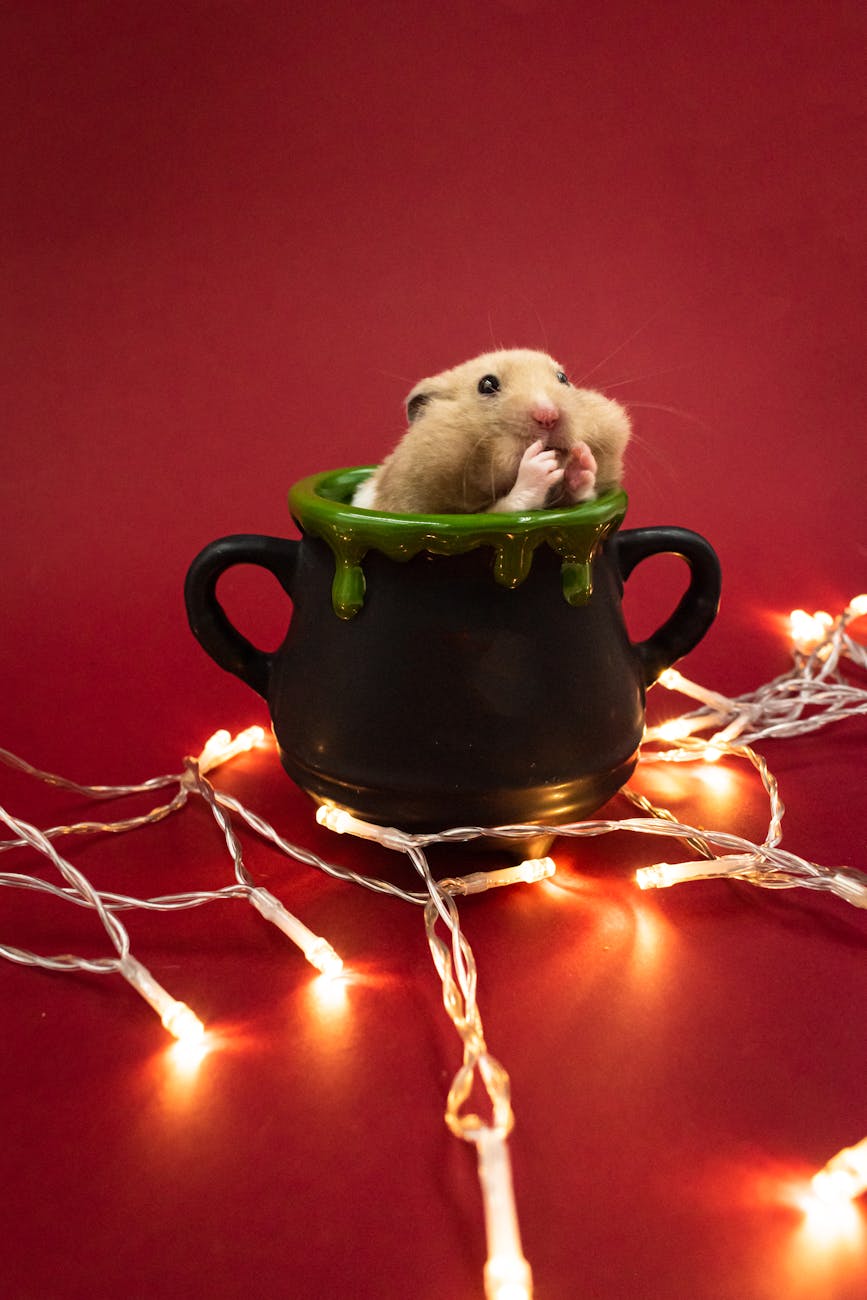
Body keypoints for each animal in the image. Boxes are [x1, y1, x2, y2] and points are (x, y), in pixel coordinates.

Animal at [352, 348, 631, 514]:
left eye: (563, 378)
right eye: (487, 385)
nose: (549, 416)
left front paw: (579, 461)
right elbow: (509, 503)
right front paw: (541, 463)